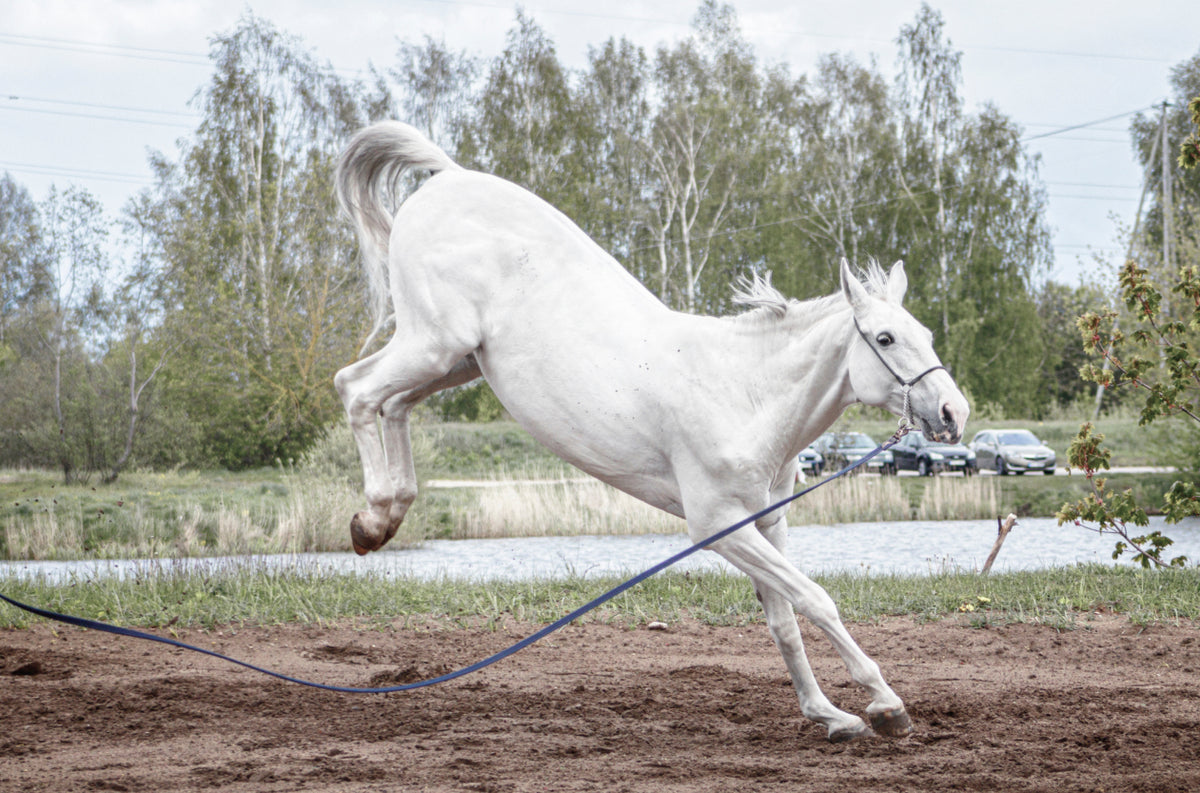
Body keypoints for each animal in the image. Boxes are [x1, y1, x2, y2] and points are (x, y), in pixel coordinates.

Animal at [333, 120, 969, 739]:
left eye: (927, 334)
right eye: (885, 338)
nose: (953, 414)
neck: (743, 393)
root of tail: (448, 177)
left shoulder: (767, 523)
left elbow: (784, 619)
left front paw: (828, 714)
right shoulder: (719, 526)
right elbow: (816, 600)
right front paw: (885, 704)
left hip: (457, 361)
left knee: (392, 403)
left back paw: (382, 518)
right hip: (434, 343)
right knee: (356, 388)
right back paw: (375, 517)